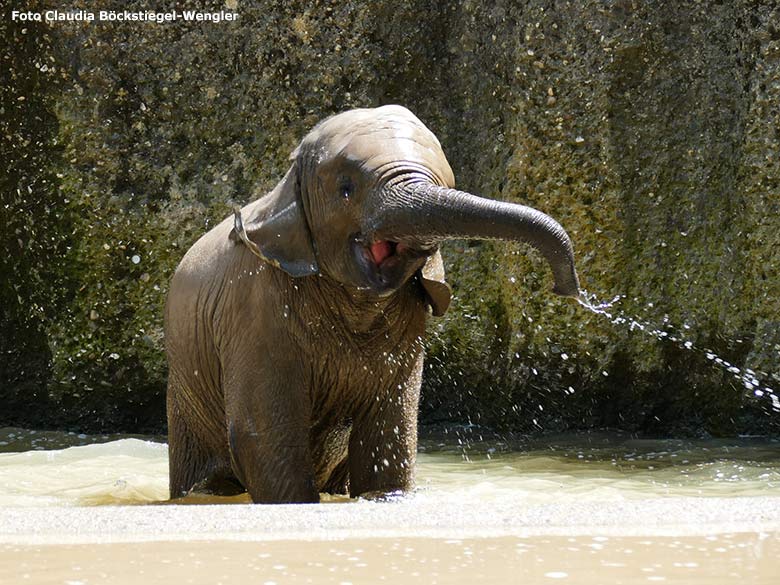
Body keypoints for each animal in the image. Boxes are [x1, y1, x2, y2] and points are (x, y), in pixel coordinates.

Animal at [165, 104, 580, 502]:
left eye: (447, 185)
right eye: (346, 189)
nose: (568, 290)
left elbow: (388, 431)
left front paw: (384, 498)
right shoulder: (253, 306)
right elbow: (264, 433)